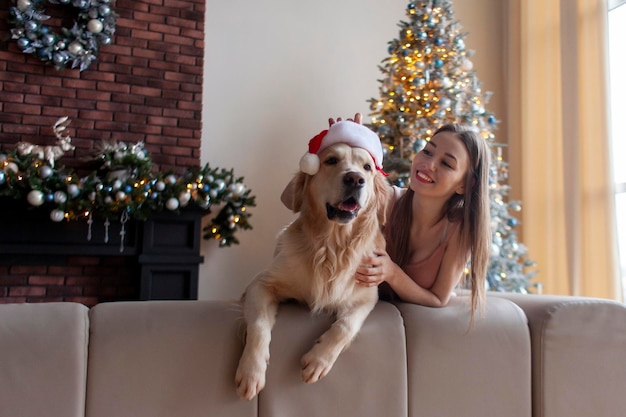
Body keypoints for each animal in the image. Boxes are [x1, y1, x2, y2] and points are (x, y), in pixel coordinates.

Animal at [234, 132, 390, 398]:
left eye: (367, 167)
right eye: (331, 160)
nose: (355, 179)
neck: (331, 247)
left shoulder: (367, 296)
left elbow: (345, 326)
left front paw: (318, 360)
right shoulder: (261, 284)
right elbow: (259, 324)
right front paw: (251, 372)